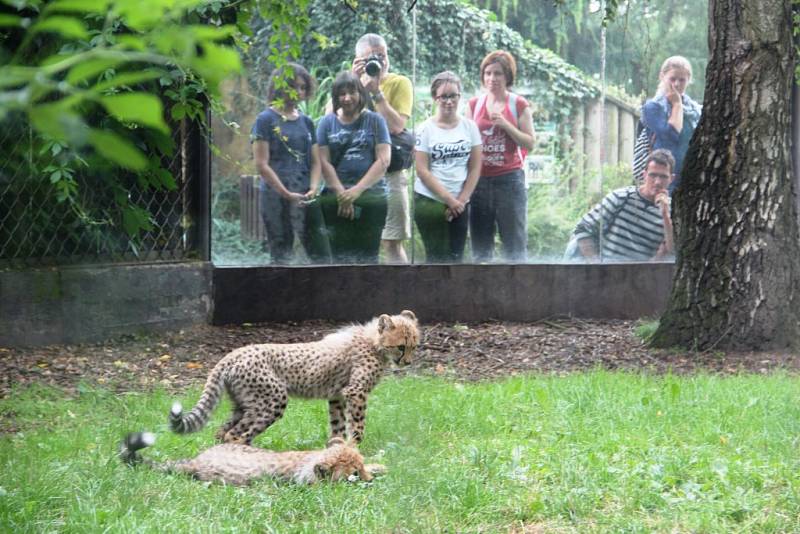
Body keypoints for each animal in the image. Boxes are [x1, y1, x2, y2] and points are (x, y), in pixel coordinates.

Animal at [169, 312, 418, 446]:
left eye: (414, 346)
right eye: (400, 346)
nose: (407, 362)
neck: (373, 342)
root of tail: (232, 354)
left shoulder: (337, 396)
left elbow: (338, 425)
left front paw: (336, 447)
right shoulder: (355, 392)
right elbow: (357, 425)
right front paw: (354, 447)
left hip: (244, 403)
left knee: (222, 431)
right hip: (272, 400)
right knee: (236, 434)